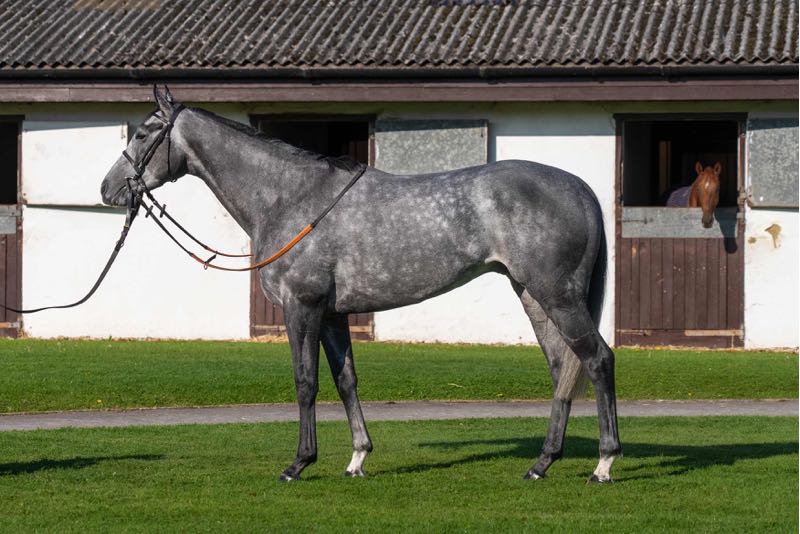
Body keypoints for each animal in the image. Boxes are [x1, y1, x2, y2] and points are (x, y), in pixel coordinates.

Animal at [100, 86, 621, 483]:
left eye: (144, 132)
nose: (108, 190)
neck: (291, 197)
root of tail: (580, 188)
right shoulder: (333, 314)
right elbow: (345, 379)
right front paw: (357, 458)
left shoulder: (302, 307)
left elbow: (306, 381)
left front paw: (299, 463)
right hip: (533, 295)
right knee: (563, 366)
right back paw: (542, 463)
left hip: (557, 295)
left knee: (597, 359)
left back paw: (604, 463)